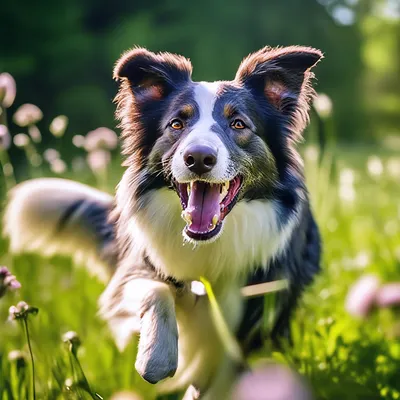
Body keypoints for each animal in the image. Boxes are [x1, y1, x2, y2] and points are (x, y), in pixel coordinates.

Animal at [3, 46, 322, 396]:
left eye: (238, 123)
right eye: (177, 123)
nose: (198, 158)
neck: (206, 247)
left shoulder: (247, 324)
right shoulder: (137, 268)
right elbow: (156, 290)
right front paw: (156, 357)